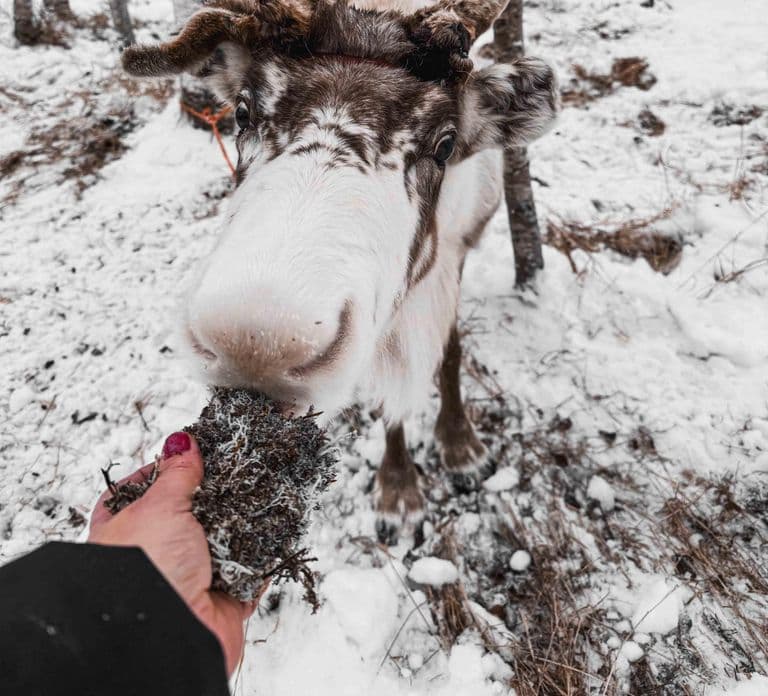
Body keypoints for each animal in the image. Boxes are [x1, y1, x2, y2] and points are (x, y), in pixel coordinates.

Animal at [123, 0, 558, 545]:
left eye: (445, 143)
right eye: (243, 113)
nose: (257, 345)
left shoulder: (454, 254)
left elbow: (450, 352)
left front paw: (461, 448)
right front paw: (399, 493)